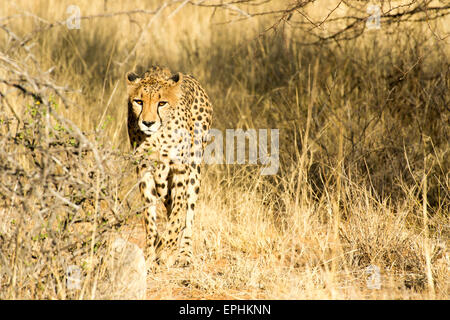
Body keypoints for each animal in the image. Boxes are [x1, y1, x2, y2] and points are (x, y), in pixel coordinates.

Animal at [125, 65, 212, 268]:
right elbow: (149, 215)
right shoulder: (144, 169)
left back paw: (184, 253)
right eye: (139, 101)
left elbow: (180, 210)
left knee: (188, 210)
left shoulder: (181, 168)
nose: (148, 123)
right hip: (162, 180)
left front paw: (170, 250)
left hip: (194, 166)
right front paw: (150, 253)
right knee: (168, 201)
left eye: (162, 103)